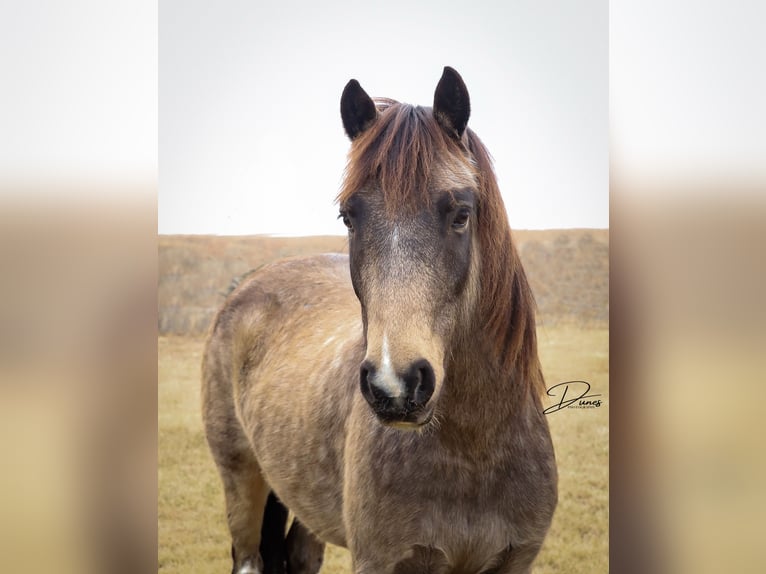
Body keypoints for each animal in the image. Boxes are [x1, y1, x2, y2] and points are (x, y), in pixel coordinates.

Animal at [202, 66, 557, 574]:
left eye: (461, 214)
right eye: (348, 218)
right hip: (241, 481)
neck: (475, 449)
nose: (395, 386)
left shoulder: (514, 562)